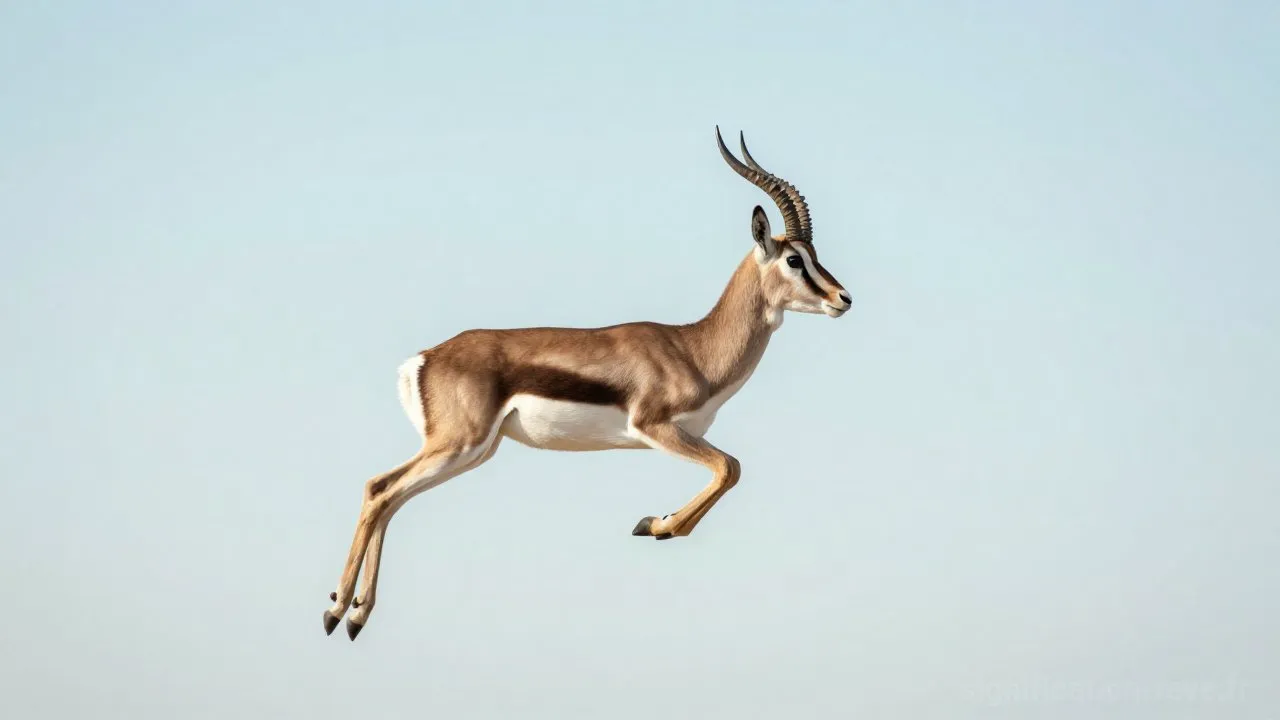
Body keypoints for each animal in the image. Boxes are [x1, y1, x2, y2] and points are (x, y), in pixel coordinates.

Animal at [323, 127, 853, 640]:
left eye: (815, 254)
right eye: (794, 260)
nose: (842, 298)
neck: (694, 348)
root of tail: (425, 358)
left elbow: (730, 469)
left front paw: (656, 524)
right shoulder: (655, 427)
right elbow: (730, 467)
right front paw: (654, 525)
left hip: (472, 452)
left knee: (390, 496)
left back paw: (355, 615)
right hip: (459, 444)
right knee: (379, 490)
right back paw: (335, 611)